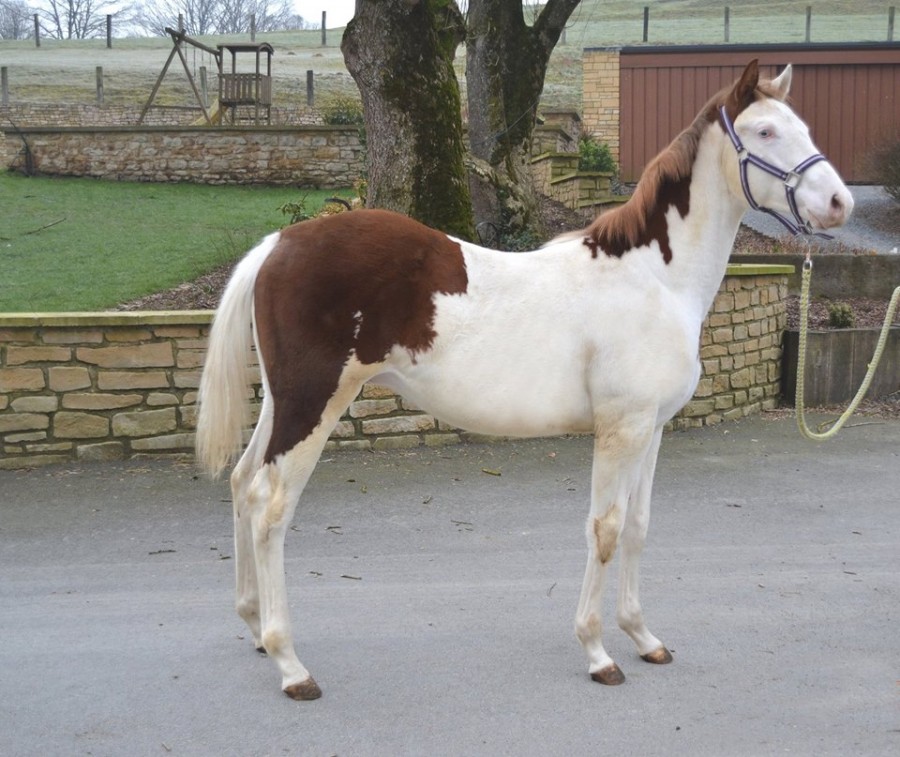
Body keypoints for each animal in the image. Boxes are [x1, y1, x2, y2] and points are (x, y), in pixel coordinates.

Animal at [196, 60, 852, 700]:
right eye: (766, 131)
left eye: (803, 126)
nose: (840, 203)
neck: (652, 279)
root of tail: (277, 244)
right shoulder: (621, 430)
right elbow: (605, 530)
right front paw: (598, 653)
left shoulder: (653, 429)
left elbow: (638, 529)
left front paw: (644, 639)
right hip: (315, 407)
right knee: (270, 509)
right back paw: (290, 664)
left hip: (282, 406)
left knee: (242, 483)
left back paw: (254, 627)